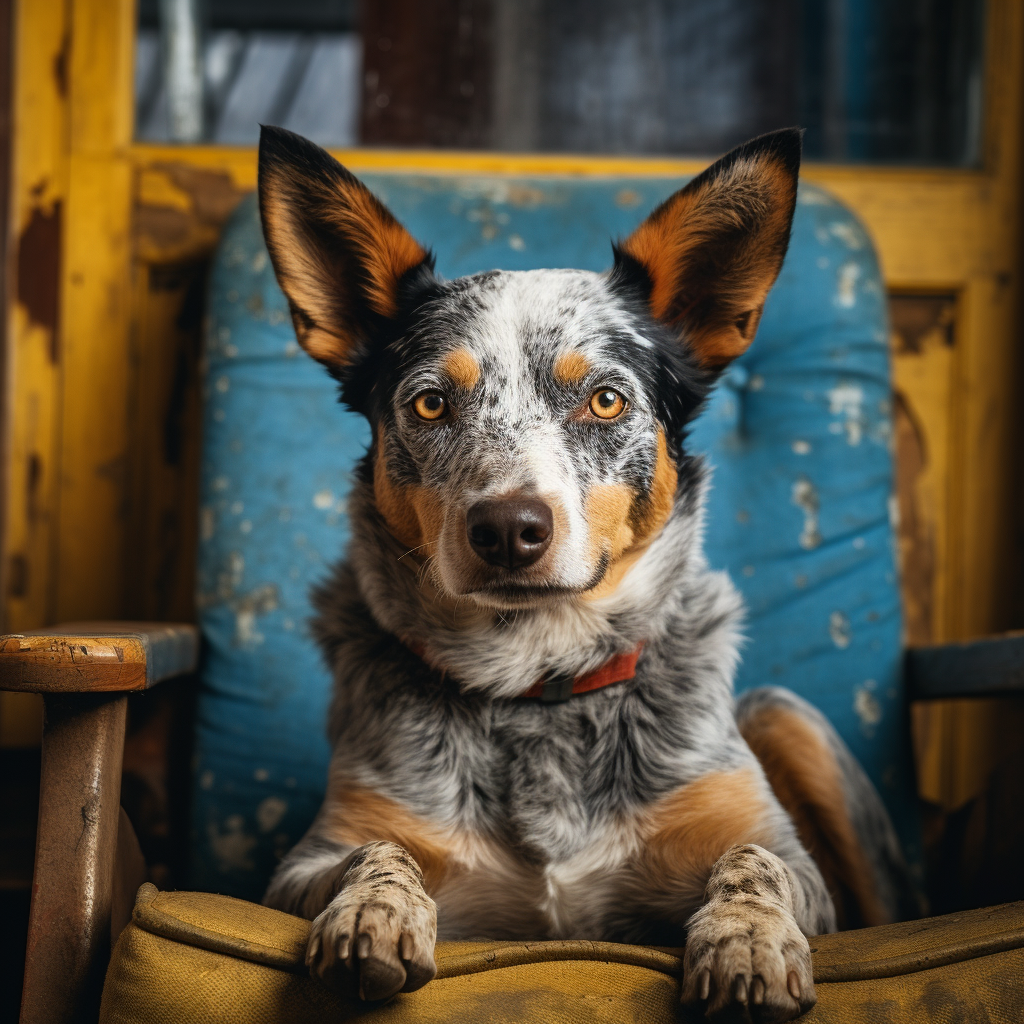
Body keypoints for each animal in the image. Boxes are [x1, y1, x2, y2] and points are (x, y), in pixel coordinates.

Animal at [258, 123, 913, 1019]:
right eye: (430, 403)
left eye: (605, 400)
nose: (507, 528)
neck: (539, 686)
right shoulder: (306, 863)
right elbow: (378, 853)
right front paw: (372, 915)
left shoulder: (797, 868)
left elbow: (754, 863)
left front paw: (744, 942)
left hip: (788, 719)